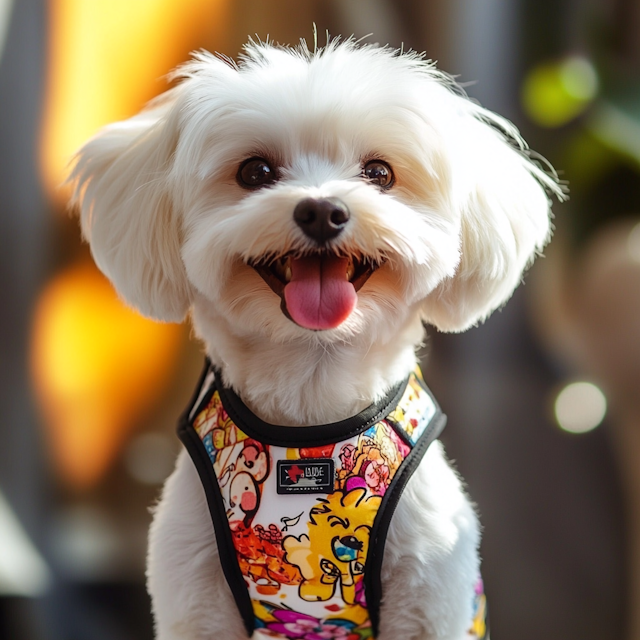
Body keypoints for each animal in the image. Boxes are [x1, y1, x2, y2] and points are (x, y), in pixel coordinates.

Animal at [69, 38, 560, 640]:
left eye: (379, 173)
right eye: (255, 171)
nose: (323, 210)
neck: (311, 400)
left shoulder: (430, 587)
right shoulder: (195, 591)